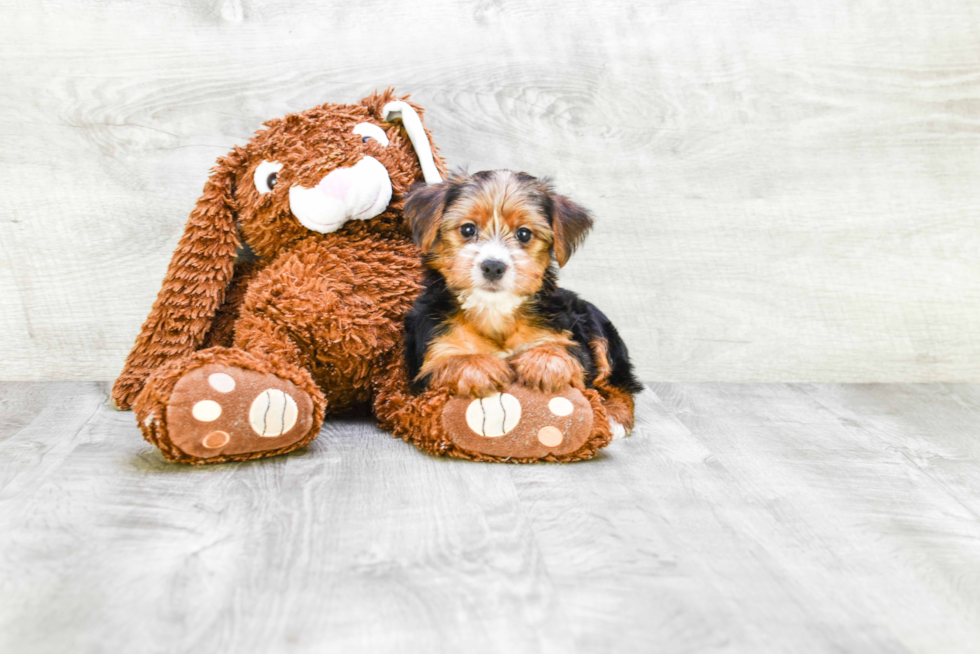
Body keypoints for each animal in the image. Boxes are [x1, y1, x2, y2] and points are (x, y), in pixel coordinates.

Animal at [404, 169, 644, 436]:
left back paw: (615, 416)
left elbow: (566, 350)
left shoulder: (566, 337)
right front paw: (480, 366)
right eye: (467, 229)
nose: (493, 266)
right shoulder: (432, 353)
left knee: (617, 382)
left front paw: (544, 361)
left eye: (524, 234)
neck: (494, 309)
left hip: (594, 323)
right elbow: (446, 362)